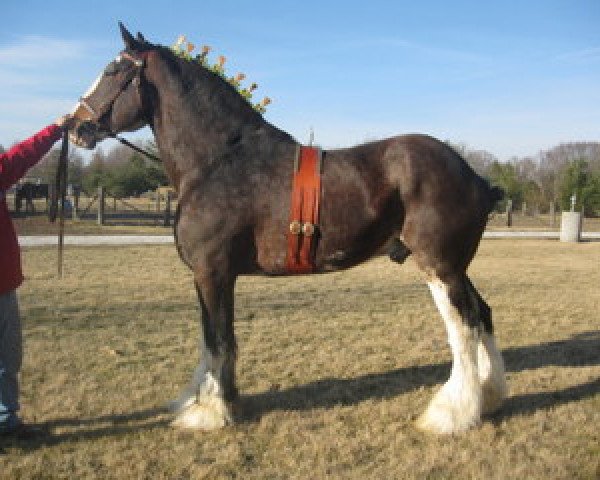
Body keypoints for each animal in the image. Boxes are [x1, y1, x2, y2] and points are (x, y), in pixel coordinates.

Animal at [68, 23, 508, 436]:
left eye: (112, 70)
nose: (75, 127)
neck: (220, 161)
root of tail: (475, 177)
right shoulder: (209, 277)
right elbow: (210, 340)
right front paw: (201, 402)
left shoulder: (214, 273)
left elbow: (219, 340)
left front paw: (211, 412)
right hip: (456, 268)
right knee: (483, 315)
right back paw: (489, 397)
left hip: (440, 266)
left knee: (464, 325)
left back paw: (450, 415)